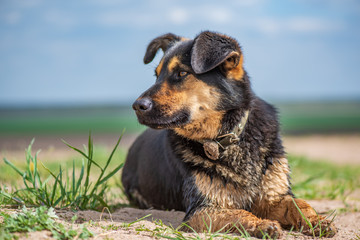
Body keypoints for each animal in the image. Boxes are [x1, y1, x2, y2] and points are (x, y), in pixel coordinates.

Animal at [121, 31, 338, 237]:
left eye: (181, 72)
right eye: (156, 76)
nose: (137, 106)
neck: (226, 138)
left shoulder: (273, 197)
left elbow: (299, 205)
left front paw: (318, 221)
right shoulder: (201, 210)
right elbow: (239, 214)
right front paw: (261, 224)